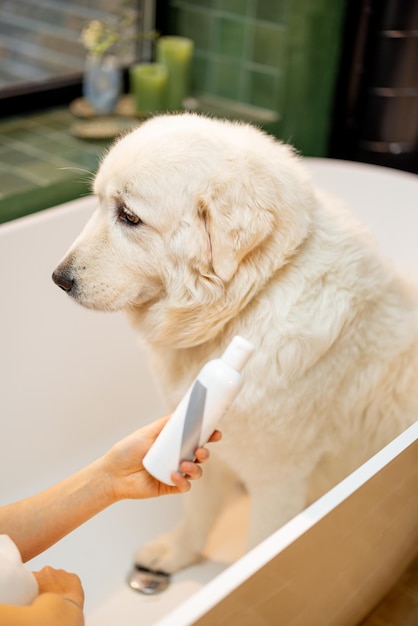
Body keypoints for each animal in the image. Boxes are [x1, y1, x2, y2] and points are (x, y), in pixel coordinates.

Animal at [52, 112, 418, 572]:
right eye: (99, 203)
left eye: (130, 216)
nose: (58, 278)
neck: (249, 300)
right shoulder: (204, 439)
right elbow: (197, 512)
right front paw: (177, 554)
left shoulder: (278, 479)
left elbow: (261, 543)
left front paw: (247, 573)